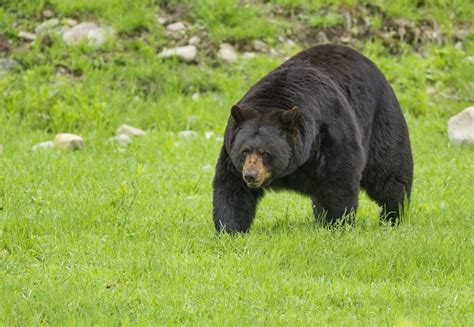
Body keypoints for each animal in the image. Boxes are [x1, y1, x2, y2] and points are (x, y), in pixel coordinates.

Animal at [213, 44, 412, 233]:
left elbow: (339, 179)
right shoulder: (232, 152)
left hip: (381, 121)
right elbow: (232, 187)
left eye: (265, 153)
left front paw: (336, 224)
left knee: (389, 174)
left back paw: (393, 216)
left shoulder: (330, 133)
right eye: (244, 151)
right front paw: (230, 229)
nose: (251, 175)